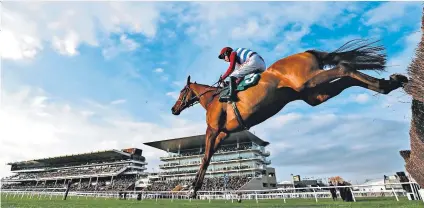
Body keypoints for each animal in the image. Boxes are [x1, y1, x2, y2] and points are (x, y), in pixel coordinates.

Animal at [169, 39, 408, 198]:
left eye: (181, 92)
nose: (173, 109)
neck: (212, 99)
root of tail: (306, 52)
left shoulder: (213, 130)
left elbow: (205, 158)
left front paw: (192, 190)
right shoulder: (223, 134)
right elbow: (208, 158)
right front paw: (193, 188)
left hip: (308, 81)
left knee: (344, 68)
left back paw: (387, 82)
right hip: (313, 94)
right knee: (346, 78)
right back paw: (388, 83)